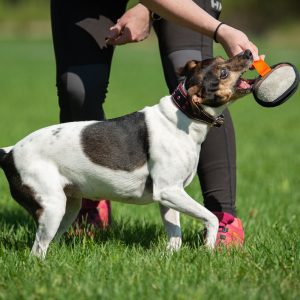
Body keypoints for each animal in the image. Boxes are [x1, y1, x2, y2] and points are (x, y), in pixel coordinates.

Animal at [0, 49, 253, 258]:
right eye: (223, 72)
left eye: (222, 58)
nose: (248, 52)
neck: (184, 117)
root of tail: (9, 152)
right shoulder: (168, 190)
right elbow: (210, 217)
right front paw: (209, 248)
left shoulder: (169, 196)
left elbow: (175, 234)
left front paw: (171, 257)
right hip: (52, 207)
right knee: (37, 250)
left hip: (69, 207)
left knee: (49, 242)